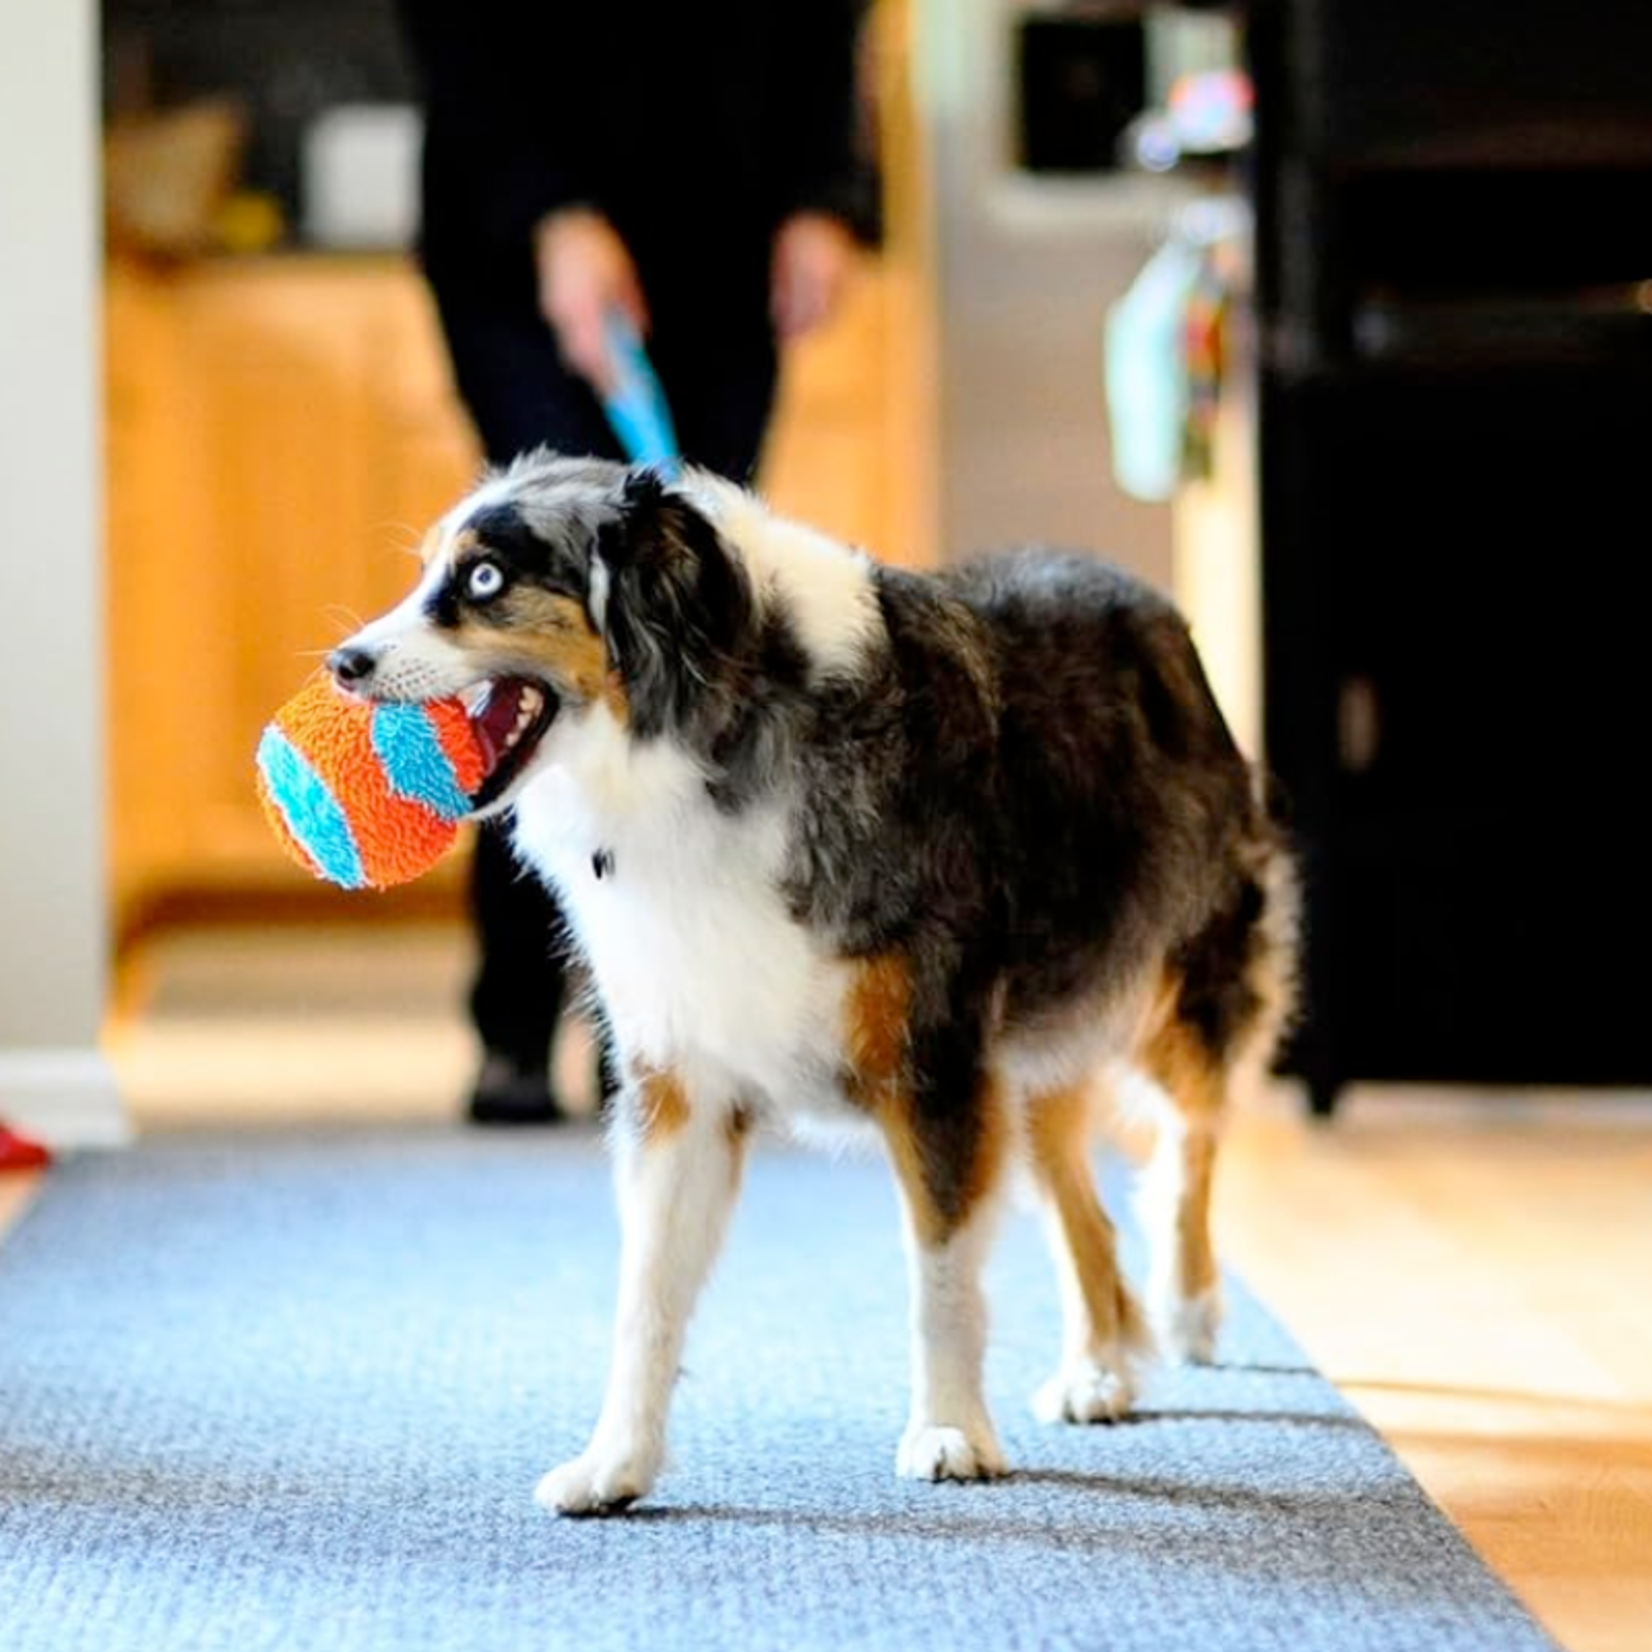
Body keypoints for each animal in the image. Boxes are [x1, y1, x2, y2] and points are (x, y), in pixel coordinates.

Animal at [328, 449, 1295, 1513]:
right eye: (429, 570)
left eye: (486, 578)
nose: (343, 664)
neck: (707, 746)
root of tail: (1142, 599)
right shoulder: (682, 1080)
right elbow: (646, 1294)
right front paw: (616, 1462)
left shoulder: (937, 1065)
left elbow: (939, 1277)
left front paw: (949, 1431)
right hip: (1030, 1058)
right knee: (1089, 1211)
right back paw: (1097, 1369)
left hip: (1180, 986)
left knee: (1190, 1140)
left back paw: (1189, 1305)